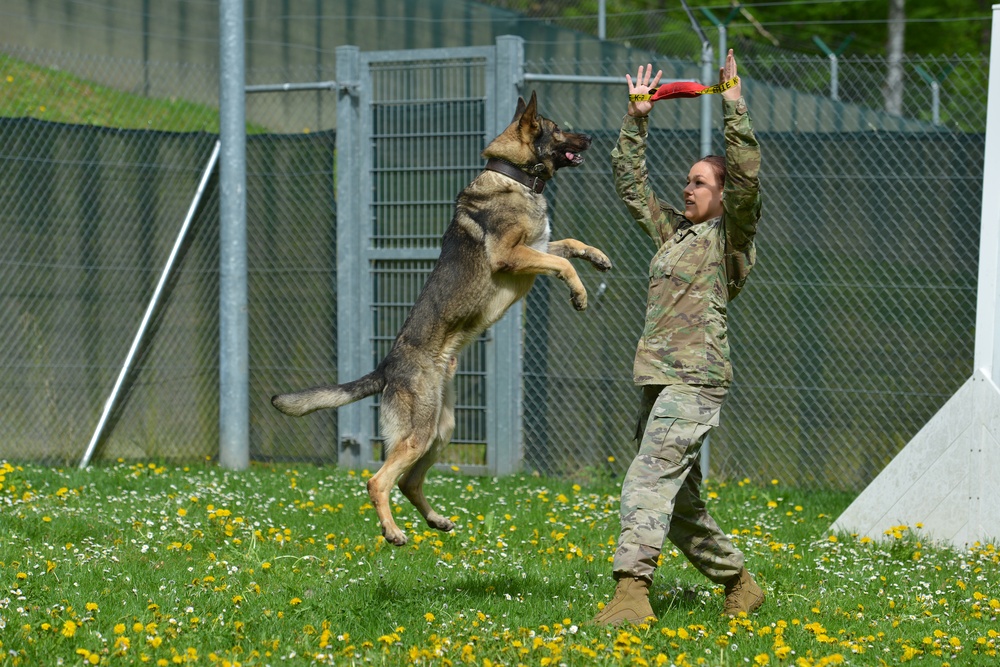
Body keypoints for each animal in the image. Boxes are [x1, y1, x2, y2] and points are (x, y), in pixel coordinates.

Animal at [272, 91, 608, 544]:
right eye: (557, 129)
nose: (591, 137)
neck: (515, 177)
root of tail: (386, 367)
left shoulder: (537, 247)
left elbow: (568, 245)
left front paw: (598, 257)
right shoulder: (513, 255)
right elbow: (563, 264)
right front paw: (579, 293)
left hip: (440, 428)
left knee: (409, 481)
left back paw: (436, 521)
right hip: (418, 433)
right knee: (379, 481)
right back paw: (393, 532)